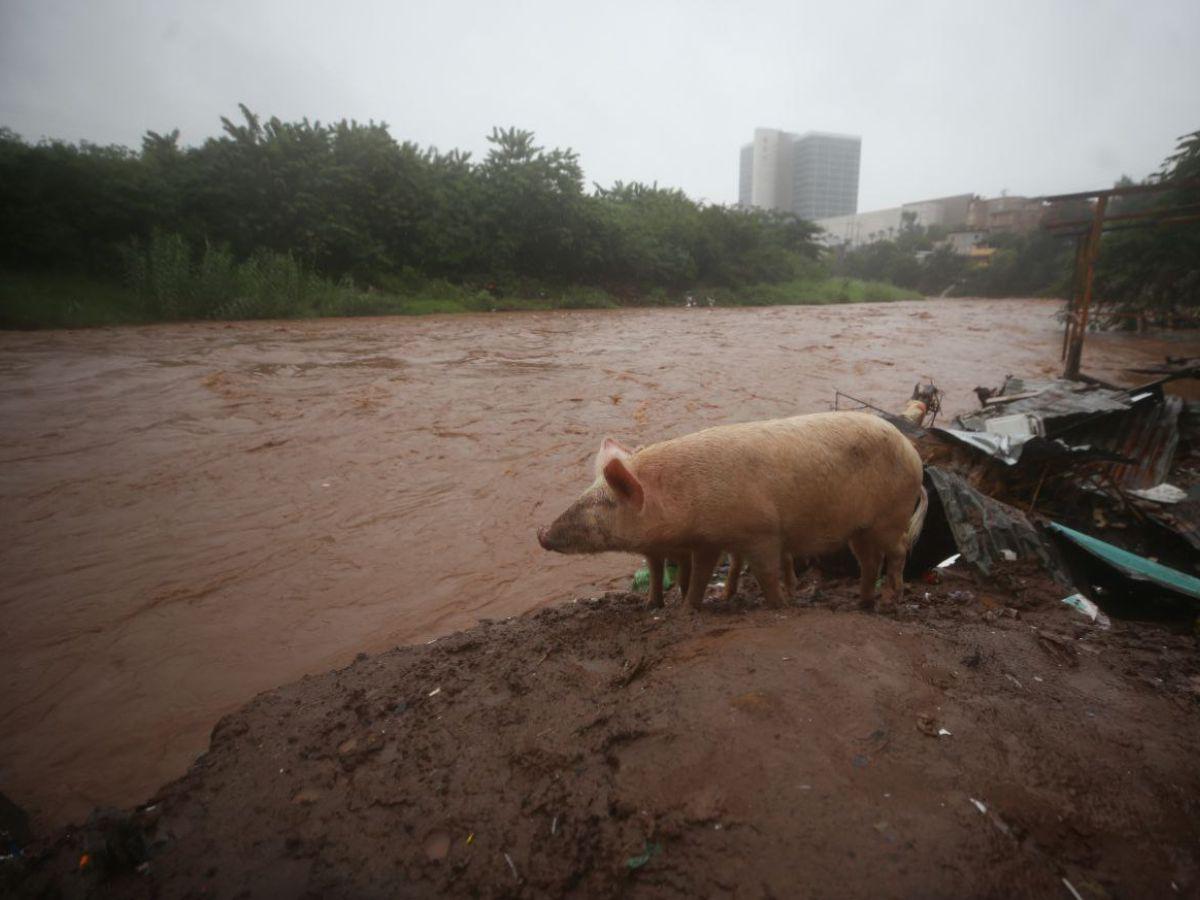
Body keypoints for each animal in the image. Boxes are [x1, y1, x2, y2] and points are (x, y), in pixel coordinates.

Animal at [537, 410, 926, 609]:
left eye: (602, 503)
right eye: (585, 494)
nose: (540, 532)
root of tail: (914, 453)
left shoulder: (762, 532)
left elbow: (766, 573)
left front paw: (780, 606)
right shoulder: (708, 540)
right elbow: (697, 577)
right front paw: (687, 609)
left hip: (891, 516)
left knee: (898, 552)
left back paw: (890, 599)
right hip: (859, 528)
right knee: (869, 561)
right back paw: (863, 603)